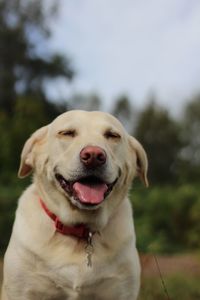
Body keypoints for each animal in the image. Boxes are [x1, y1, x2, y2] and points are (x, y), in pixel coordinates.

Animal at [1, 110, 148, 300]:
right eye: (67, 133)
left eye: (112, 135)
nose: (94, 156)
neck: (80, 228)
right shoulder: (22, 291)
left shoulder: (121, 291)